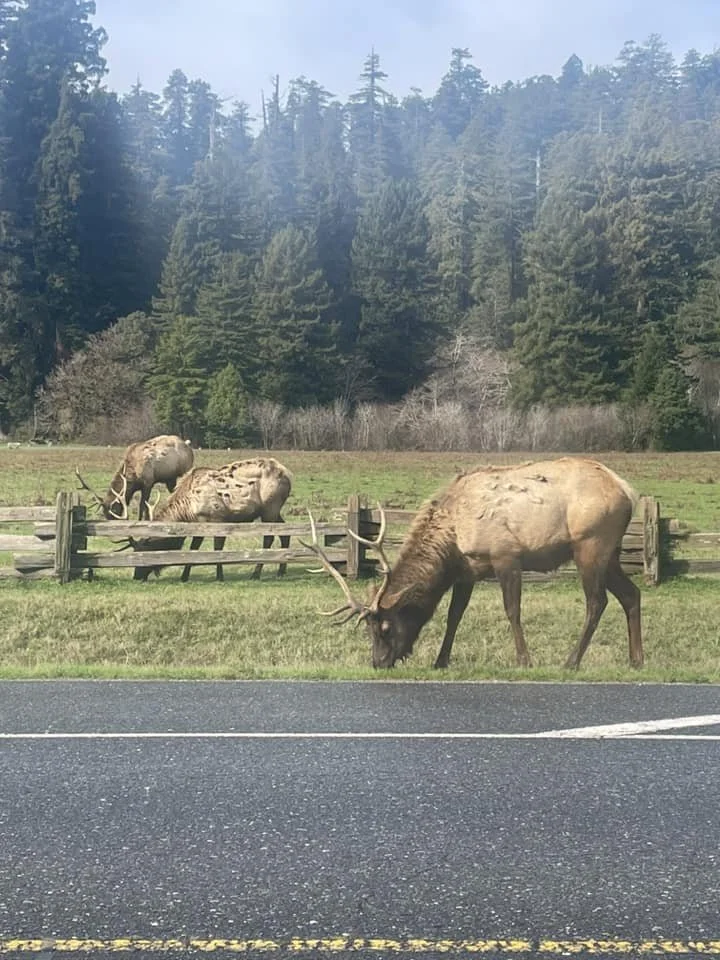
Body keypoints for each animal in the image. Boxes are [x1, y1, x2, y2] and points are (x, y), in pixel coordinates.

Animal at [129, 457, 293, 582]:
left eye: (145, 550)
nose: (136, 576)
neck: (188, 510)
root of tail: (287, 475)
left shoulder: (218, 519)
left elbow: (217, 548)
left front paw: (220, 576)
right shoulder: (200, 524)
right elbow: (194, 548)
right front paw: (184, 577)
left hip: (270, 508)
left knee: (269, 538)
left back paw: (256, 574)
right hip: (274, 511)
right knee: (285, 533)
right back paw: (281, 571)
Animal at [304, 458, 643, 671]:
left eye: (386, 627)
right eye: (368, 630)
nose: (378, 662)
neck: (452, 539)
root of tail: (628, 491)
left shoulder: (506, 555)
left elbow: (512, 610)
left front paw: (524, 661)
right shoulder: (465, 572)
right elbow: (454, 615)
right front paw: (440, 660)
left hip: (590, 543)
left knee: (597, 601)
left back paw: (571, 661)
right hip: (611, 553)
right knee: (631, 594)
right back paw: (636, 659)